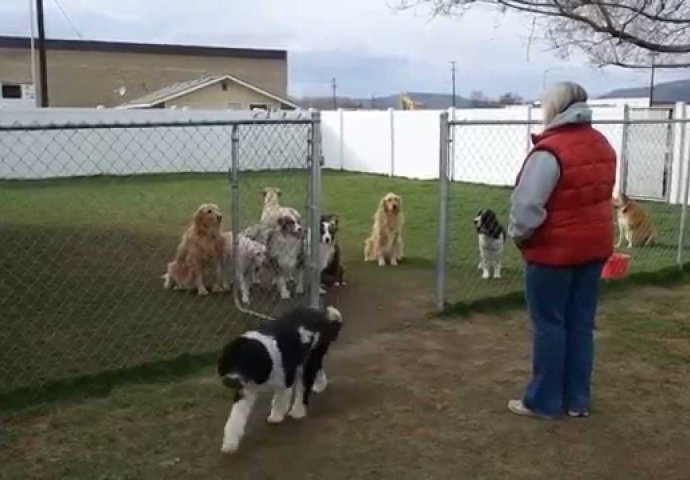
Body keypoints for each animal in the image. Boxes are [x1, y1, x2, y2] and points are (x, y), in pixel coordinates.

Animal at [218, 304, 342, 454]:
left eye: (245, 363)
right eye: (228, 363)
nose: (229, 381)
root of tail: (324, 315)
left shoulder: (284, 382)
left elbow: (278, 401)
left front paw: (276, 417)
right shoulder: (245, 391)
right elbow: (235, 418)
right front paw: (230, 443)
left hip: (310, 359)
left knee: (304, 386)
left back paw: (298, 411)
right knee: (318, 370)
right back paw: (320, 385)